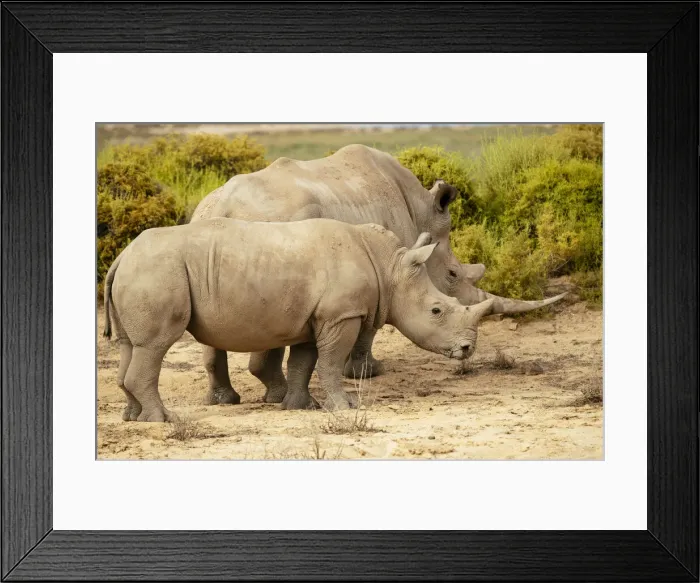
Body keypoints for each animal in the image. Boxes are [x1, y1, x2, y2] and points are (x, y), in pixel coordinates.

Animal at [103, 218, 494, 421]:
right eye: (437, 310)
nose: (467, 348)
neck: (390, 268)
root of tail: (121, 256)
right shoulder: (341, 315)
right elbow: (331, 363)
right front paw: (345, 407)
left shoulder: (317, 318)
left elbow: (304, 363)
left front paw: (301, 406)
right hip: (157, 272)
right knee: (154, 345)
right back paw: (164, 420)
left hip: (141, 271)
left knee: (130, 346)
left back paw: (134, 418)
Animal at [191, 144, 566, 405]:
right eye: (453, 274)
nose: (466, 346)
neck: (420, 212)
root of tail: (223, 206)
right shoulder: (383, 275)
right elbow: (370, 328)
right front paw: (369, 372)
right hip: (275, 229)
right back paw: (276, 395)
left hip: (209, 230)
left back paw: (226, 400)